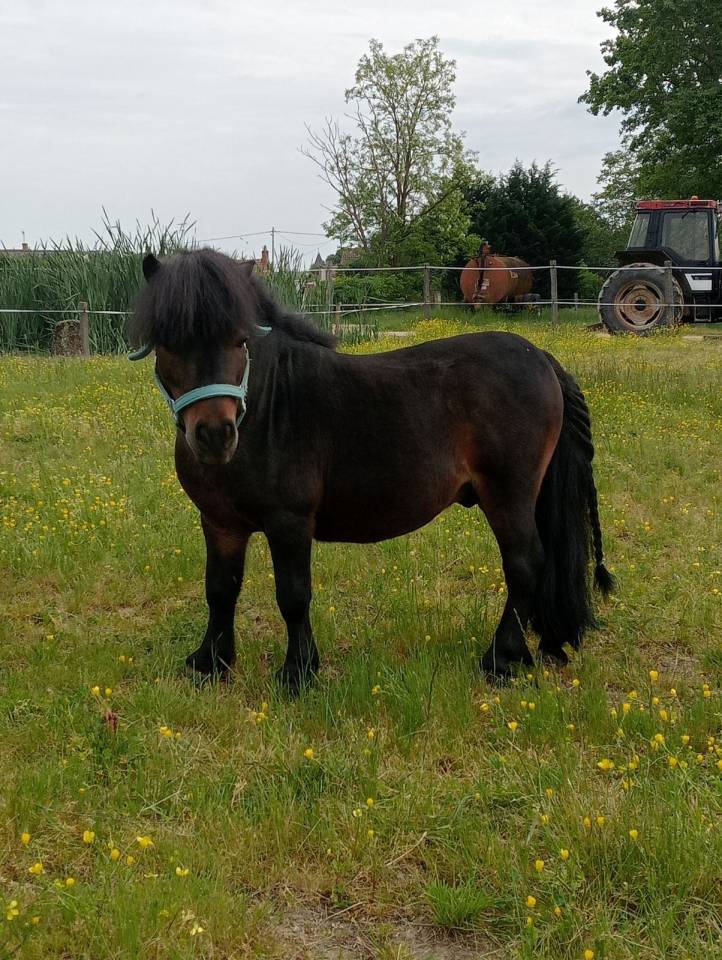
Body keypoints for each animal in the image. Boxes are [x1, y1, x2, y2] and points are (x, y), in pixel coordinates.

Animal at [130, 249, 614, 693]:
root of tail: (540, 357)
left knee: (524, 563)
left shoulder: (290, 522)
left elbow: (293, 595)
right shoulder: (219, 523)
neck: (266, 405)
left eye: (239, 339)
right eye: (167, 341)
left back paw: (501, 658)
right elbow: (220, 589)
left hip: (508, 494)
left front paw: (298, 673)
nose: (215, 434)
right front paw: (210, 662)